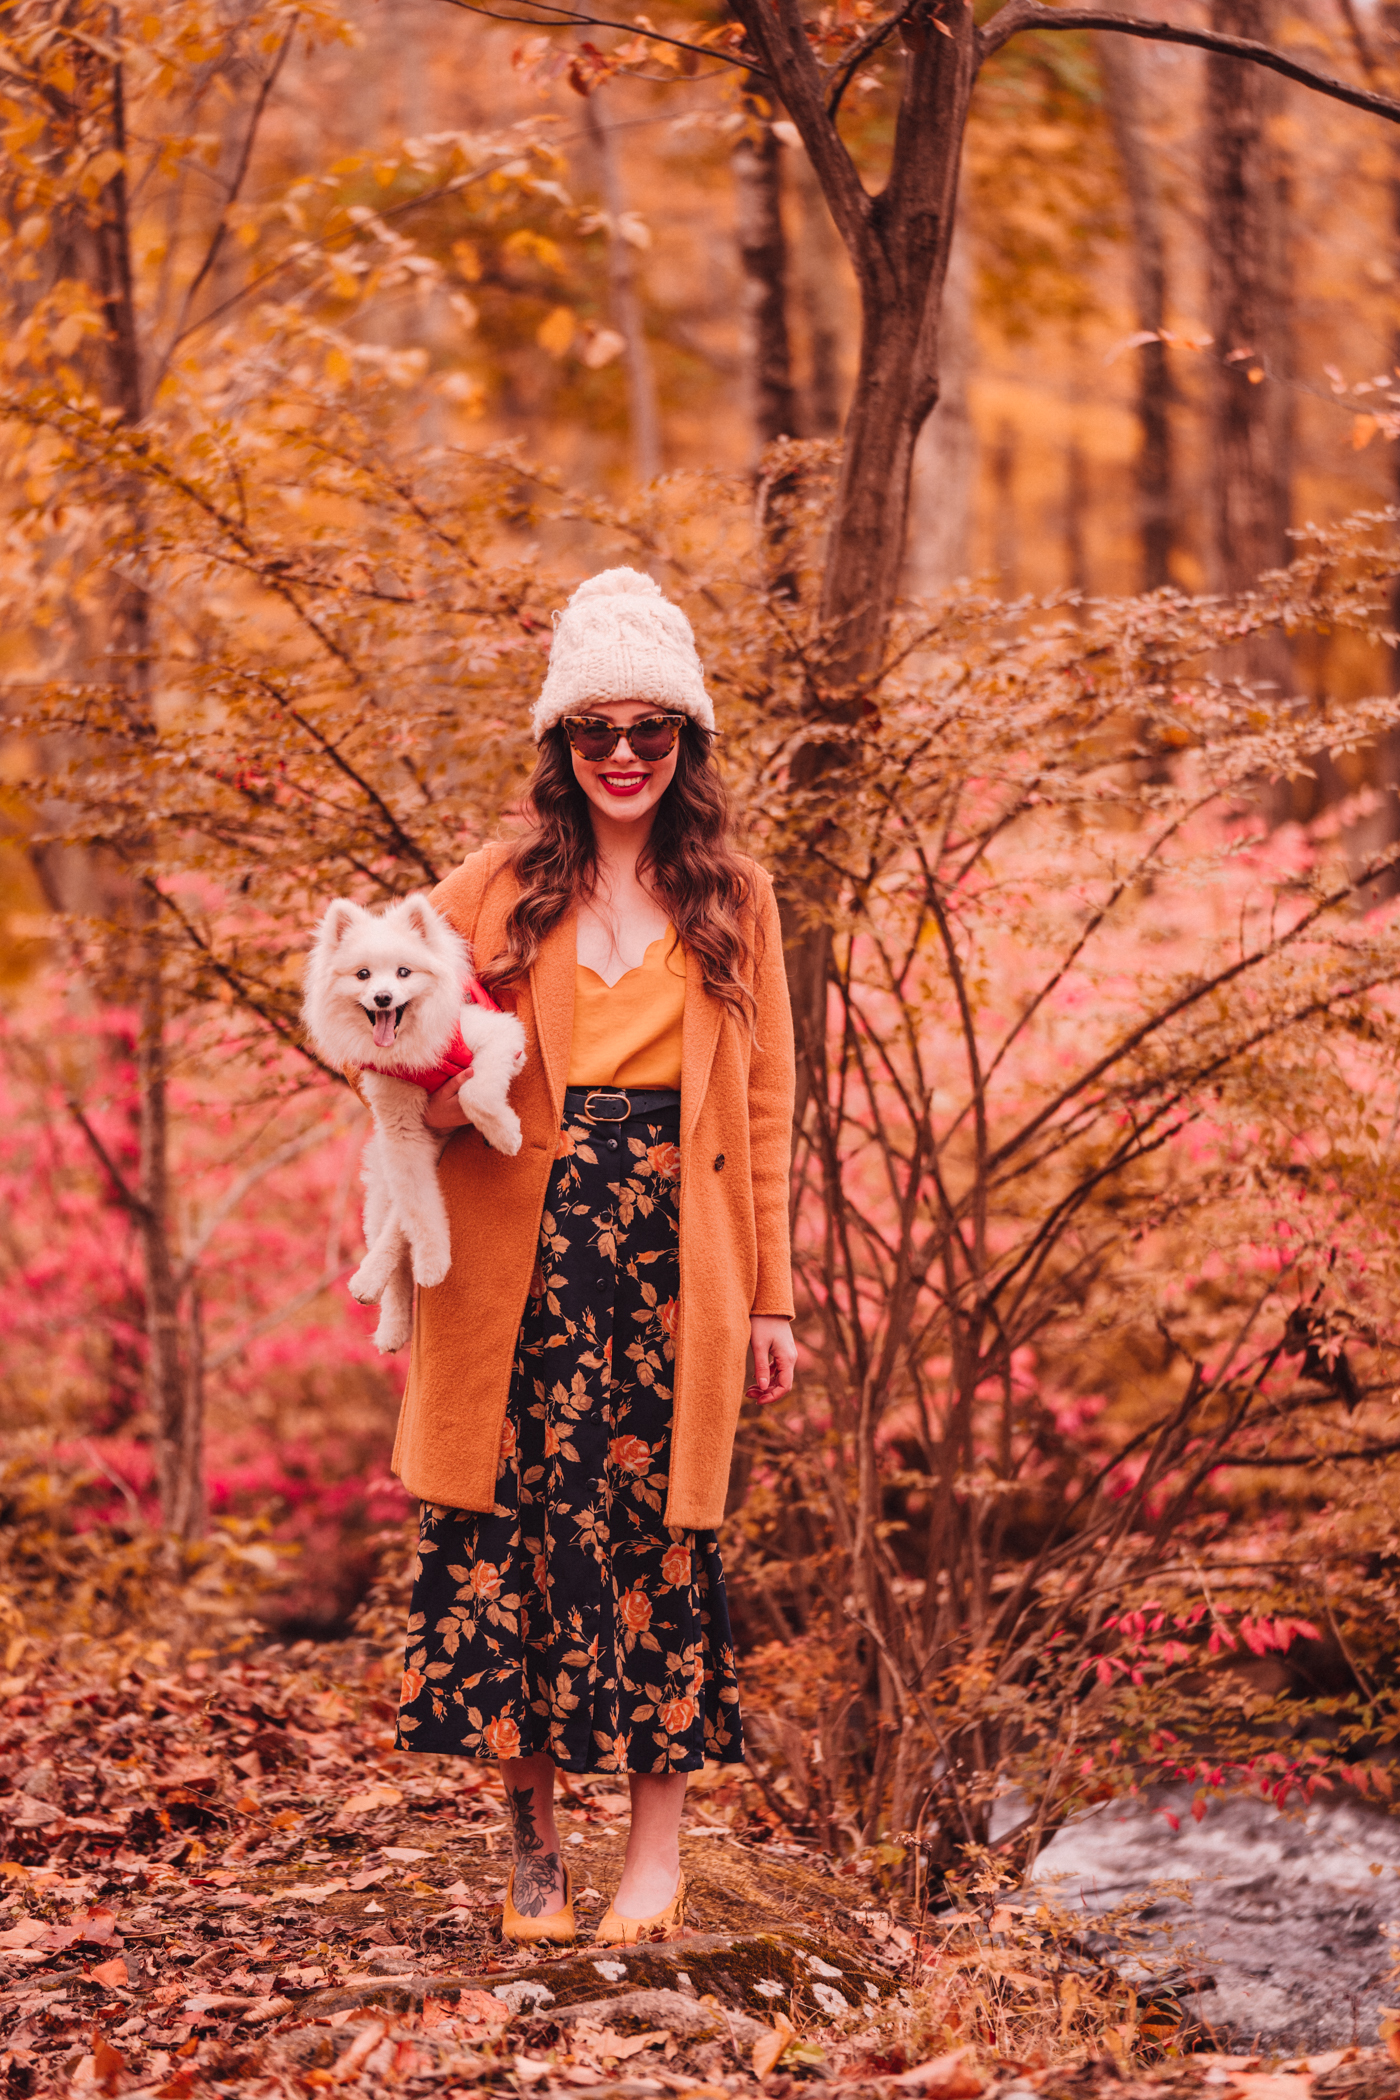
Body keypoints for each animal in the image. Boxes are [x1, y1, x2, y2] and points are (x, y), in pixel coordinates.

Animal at [304, 890, 524, 1352]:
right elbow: (421, 1214)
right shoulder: (401, 1130)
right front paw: (435, 1263)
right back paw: (385, 1311)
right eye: (363, 975)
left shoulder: (500, 1036)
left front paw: (505, 1134)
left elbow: (477, 1093)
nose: (384, 997)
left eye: (404, 972)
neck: (412, 1048)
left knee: (396, 1230)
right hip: (382, 1182)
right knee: (397, 1244)